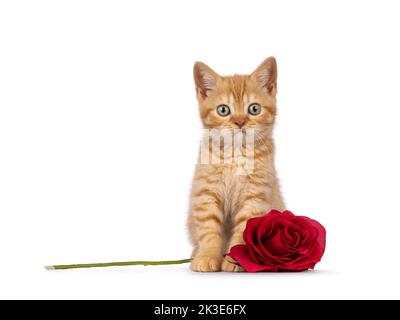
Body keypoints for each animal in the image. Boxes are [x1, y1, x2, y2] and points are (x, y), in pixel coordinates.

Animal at [188, 57, 284, 272]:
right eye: (223, 110)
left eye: (254, 109)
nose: (240, 122)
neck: (235, 154)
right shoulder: (206, 194)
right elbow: (208, 229)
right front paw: (207, 256)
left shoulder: (255, 198)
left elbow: (243, 230)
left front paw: (234, 260)